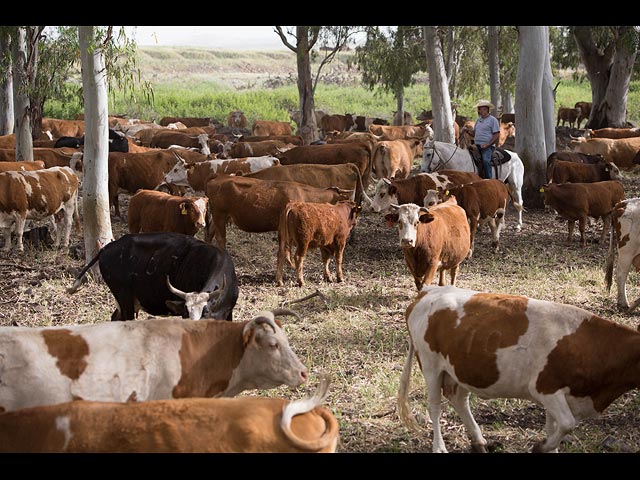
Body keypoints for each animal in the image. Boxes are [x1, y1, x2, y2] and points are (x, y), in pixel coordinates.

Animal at [398, 284, 640, 454]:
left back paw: (479, 441)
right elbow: (567, 424)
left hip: (462, 368)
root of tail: (428, 291)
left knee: (458, 399)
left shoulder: (557, 396)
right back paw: (440, 447)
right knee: (434, 406)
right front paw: (540, 446)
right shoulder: (545, 388)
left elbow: (555, 428)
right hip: (430, 364)